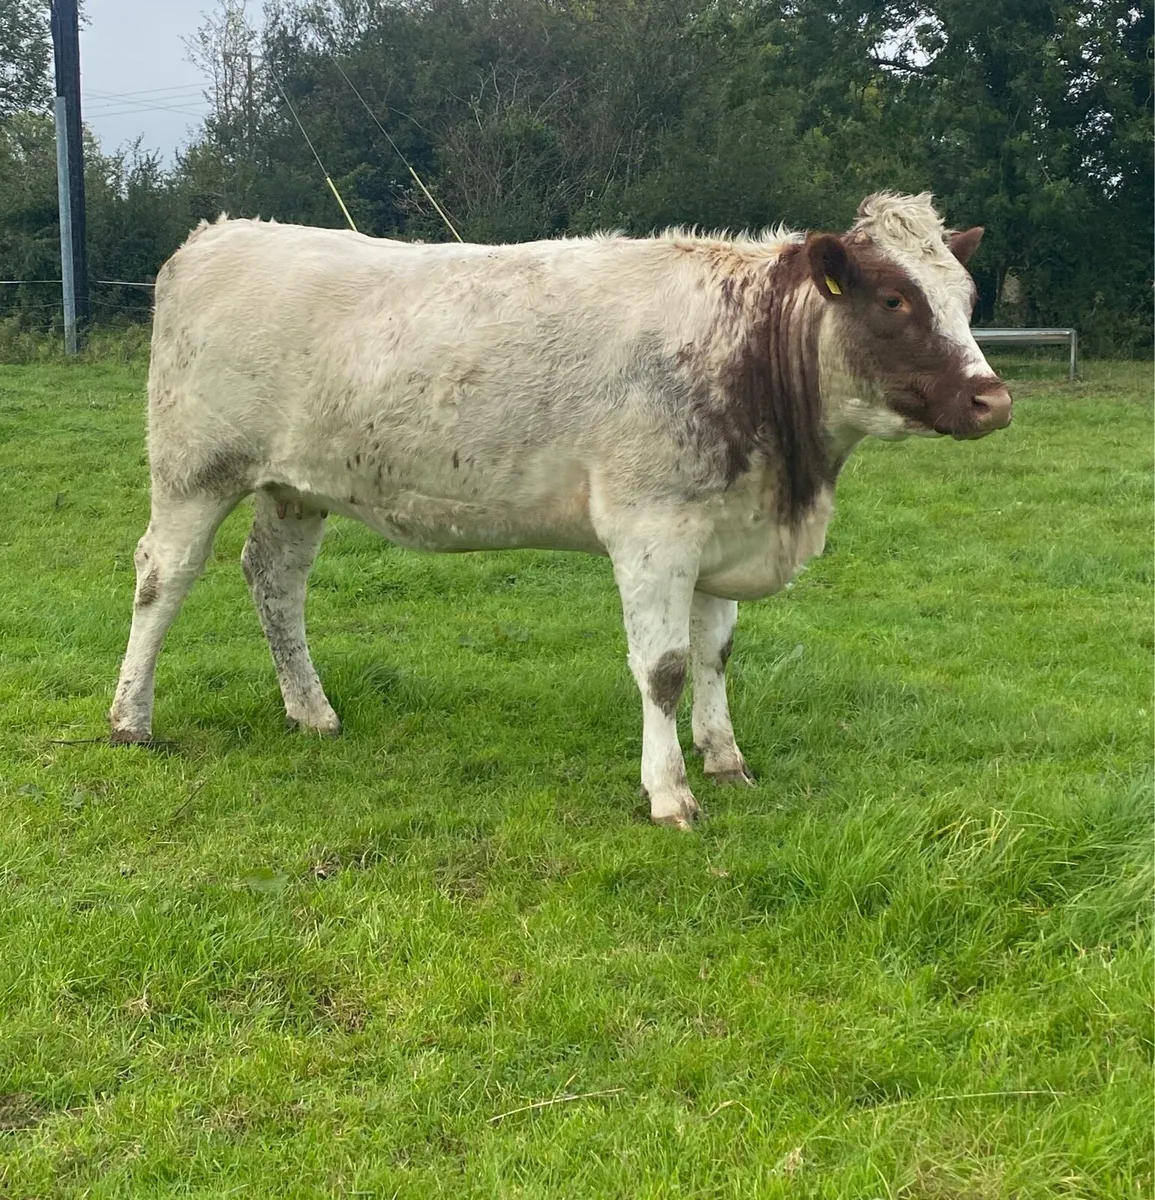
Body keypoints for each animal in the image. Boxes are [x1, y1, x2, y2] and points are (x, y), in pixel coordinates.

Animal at [109, 192, 1011, 828]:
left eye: (965, 297)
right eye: (893, 299)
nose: (992, 399)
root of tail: (223, 232)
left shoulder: (721, 523)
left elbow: (714, 656)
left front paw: (724, 759)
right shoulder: (653, 527)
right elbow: (664, 667)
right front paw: (669, 794)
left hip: (296, 486)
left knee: (275, 581)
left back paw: (311, 711)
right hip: (196, 468)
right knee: (163, 575)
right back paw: (130, 719)